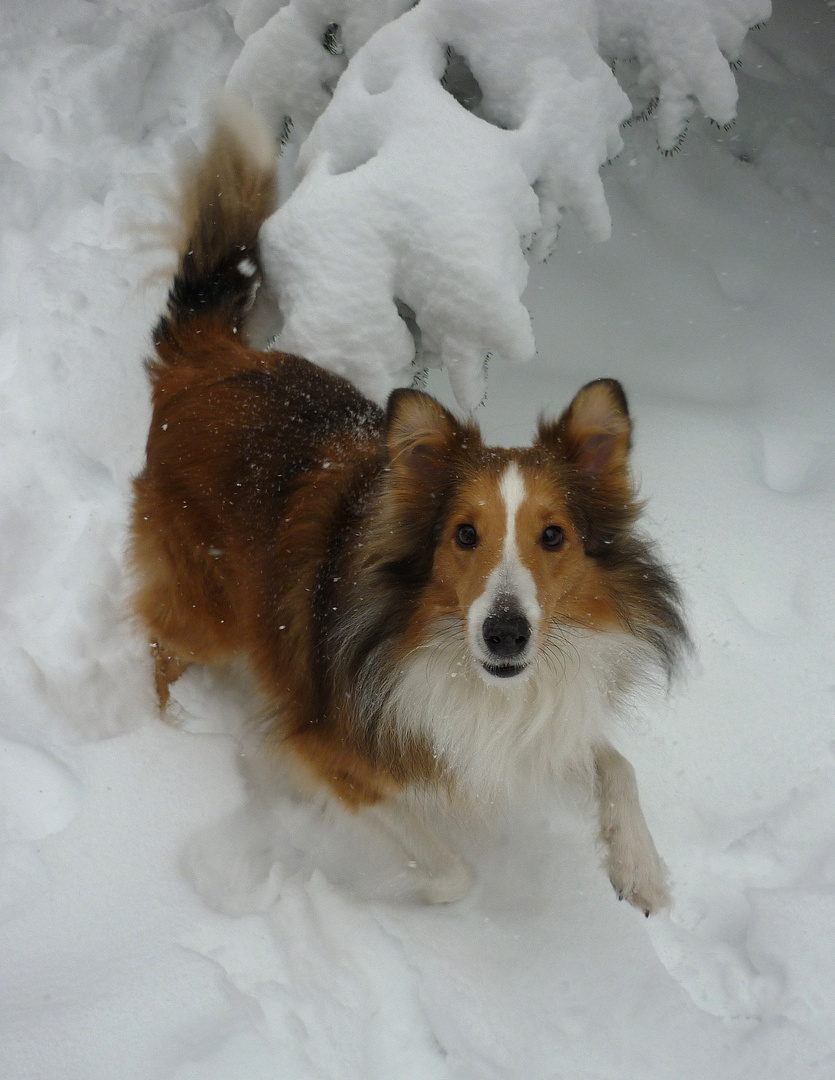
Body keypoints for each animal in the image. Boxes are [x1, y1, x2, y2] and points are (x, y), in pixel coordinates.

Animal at [131, 101, 682, 911]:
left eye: (553, 536)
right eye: (464, 534)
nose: (507, 635)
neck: (462, 666)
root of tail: (215, 360)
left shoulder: (536, 726)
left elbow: (618, 764)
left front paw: (639, 866)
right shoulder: (329, 742)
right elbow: (452, 873)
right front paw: (393, 898)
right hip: (205, 605)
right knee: (162, 652)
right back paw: (173, 737)